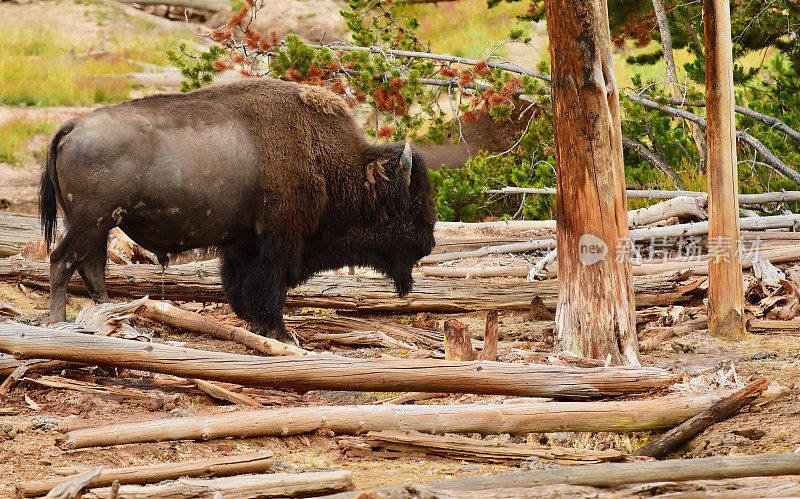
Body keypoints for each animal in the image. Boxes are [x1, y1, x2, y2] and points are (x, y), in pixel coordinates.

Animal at [39, 79, 434, 344]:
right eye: (414, 200)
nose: (429, 242)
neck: (330, 161)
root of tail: (72, 125)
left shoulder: (244, 243)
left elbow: (241, 285)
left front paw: (257, 326)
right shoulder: (279, 242)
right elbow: (269, 288)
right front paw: (280, 333)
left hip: (99, 226)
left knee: (91, 268)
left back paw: (112, 318)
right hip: (90, 223)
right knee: (62, 260)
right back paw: (61, 322)